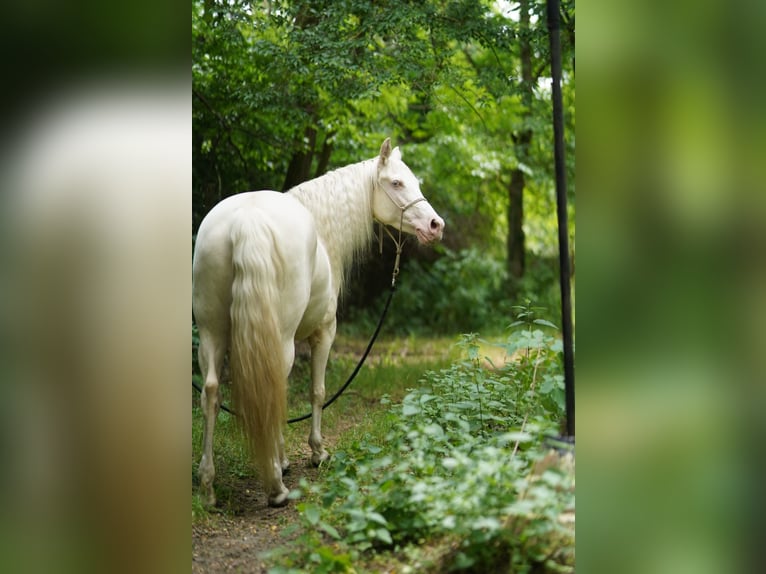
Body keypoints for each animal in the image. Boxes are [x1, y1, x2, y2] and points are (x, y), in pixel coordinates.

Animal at [192, 138, 444, 507]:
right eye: (397, 183)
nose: (436, 225)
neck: (323, 232)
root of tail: (247, 220)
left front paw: (284, 458)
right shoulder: (323, 332)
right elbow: (317, 391)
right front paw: (315, 453)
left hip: (211, 332)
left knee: (211, 392)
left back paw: (209, 487)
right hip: (278, 339)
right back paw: (276, 488)